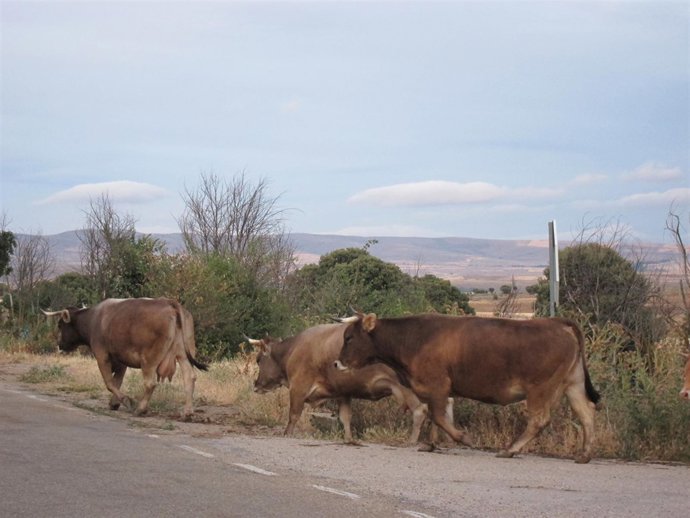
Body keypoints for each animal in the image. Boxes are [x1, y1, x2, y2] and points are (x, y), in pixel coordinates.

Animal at [42, 298, 208, 419]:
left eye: (60, 325)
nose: (59, 344)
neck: (93, 319)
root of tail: (170, 303)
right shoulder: (121, 361)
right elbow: (118, 381)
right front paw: (114, 402)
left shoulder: (102, 356)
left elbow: (110, 383)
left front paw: (126, 401)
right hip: (183, 353)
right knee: (189, 377)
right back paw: (187, 412)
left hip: (149, 360)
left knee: (150, 383)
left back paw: (140, 409)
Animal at [247, 323, 429, 444]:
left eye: (258, 359)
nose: (256, 385)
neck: (292, 349)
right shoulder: (343, 393)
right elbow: (345, 417)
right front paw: (349, 440)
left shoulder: (298, 387)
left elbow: (293, 415)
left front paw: (287, 434)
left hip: (406, 388)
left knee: (420, 410)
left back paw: (411, 442)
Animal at [336, 313, 601, 463]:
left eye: (349, 337)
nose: (336, 363)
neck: (412, 339)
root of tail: (557, 323)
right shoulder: (435, 391)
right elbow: (436, 417)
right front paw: (430, 444)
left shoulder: (438, 385)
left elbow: (438, 416)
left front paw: (464, 438)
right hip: (573, 383)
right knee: (586, 413)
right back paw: (584, 455)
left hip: (540, 389)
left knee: (540, 419)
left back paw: (509, 449)